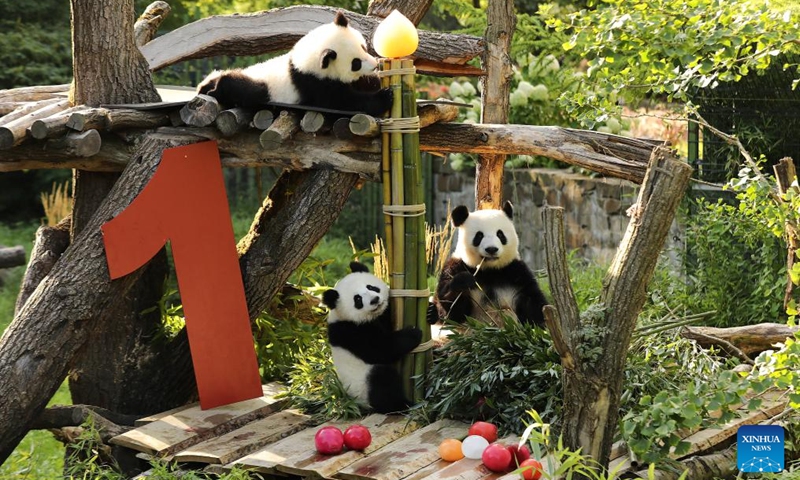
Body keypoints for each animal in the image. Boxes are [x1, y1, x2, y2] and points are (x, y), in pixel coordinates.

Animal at [197, 11, 392, 116]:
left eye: (363, 47)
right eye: (355, 63)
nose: (374, 64)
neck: (298, 64)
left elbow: (361, 83)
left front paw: (376, 81)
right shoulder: (314, 84)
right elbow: (343, 101)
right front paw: (385, 96)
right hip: (261, 85)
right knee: (242, 87)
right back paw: (216, 89)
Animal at [322, 261, 422, 413]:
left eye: (370, 287)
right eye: (358, 299)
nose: (375, 300)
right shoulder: (349, 331)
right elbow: (379, 350)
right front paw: (413, 333)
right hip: (362, 385)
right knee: (382, 379)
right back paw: (402, 405)